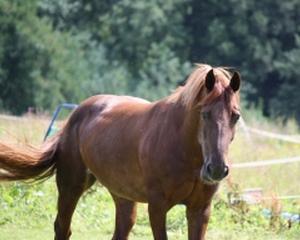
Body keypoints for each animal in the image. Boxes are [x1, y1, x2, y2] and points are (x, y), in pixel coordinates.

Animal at [0, 64, 240, 240]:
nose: (217, 169)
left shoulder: (200, 210)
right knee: (62, 227)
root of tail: (73, 117)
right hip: (71, 186)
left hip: (123, 197)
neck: (184, 150)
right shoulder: (157, 207)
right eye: (204, 113)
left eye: (235, 116)